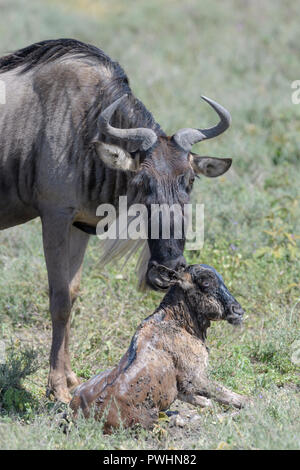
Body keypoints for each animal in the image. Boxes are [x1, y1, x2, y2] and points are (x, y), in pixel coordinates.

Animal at [70, 262, 248, 432]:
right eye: (206, 282)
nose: (238, 311)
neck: (176, 322)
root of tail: (79, 415)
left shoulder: (182, 387)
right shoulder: (193, 378)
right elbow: (232, 397)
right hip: (149, 420)